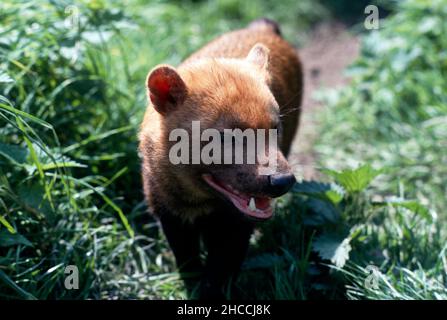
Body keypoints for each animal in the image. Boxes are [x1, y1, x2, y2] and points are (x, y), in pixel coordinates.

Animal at [138, 18, 302, 298]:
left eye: (275, 127)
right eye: (225, 136)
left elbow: (219, 273)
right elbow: (187, 263)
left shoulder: (235, 227)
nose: (283, 181)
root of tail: (264, 27)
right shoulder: (169, 214)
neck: (200, 204)